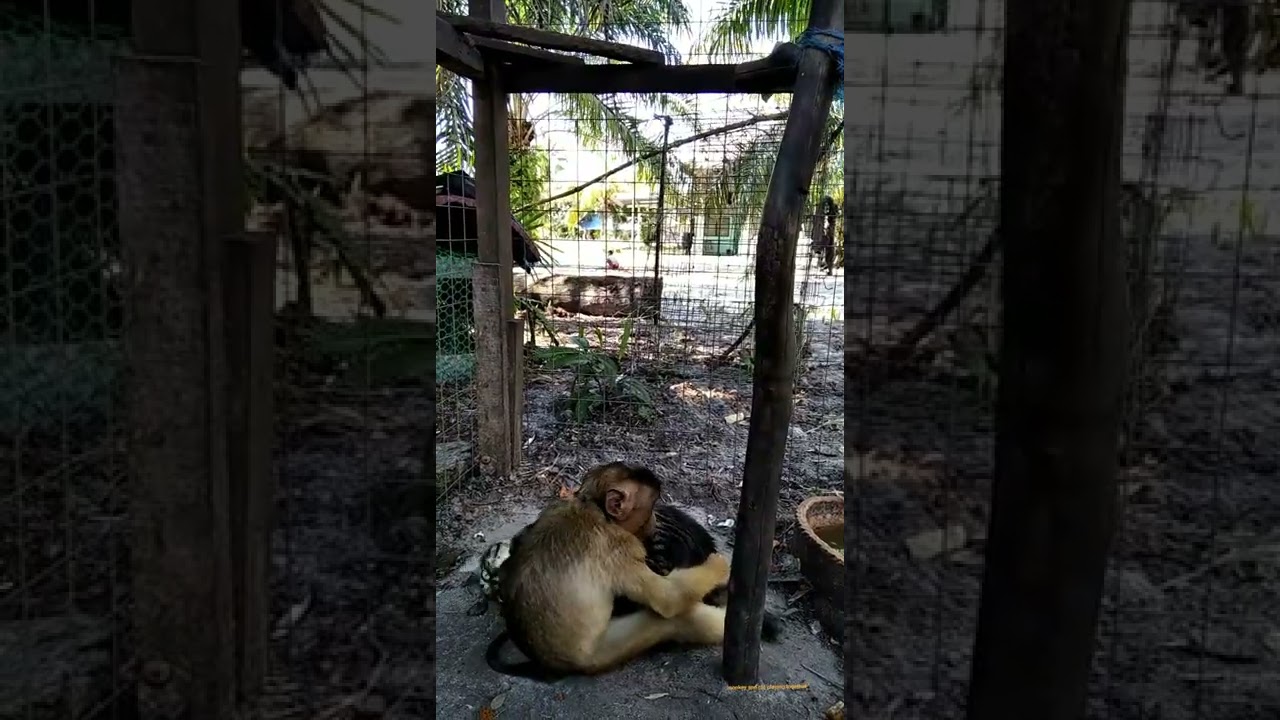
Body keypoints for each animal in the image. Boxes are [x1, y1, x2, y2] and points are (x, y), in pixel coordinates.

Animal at [481, 465, 784, 680]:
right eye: (649, 509)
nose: (655, 522)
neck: (593, 507)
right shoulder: (619, 548)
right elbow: (668, 599)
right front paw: (720, 566)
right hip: (601, 653)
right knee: (674, 619)